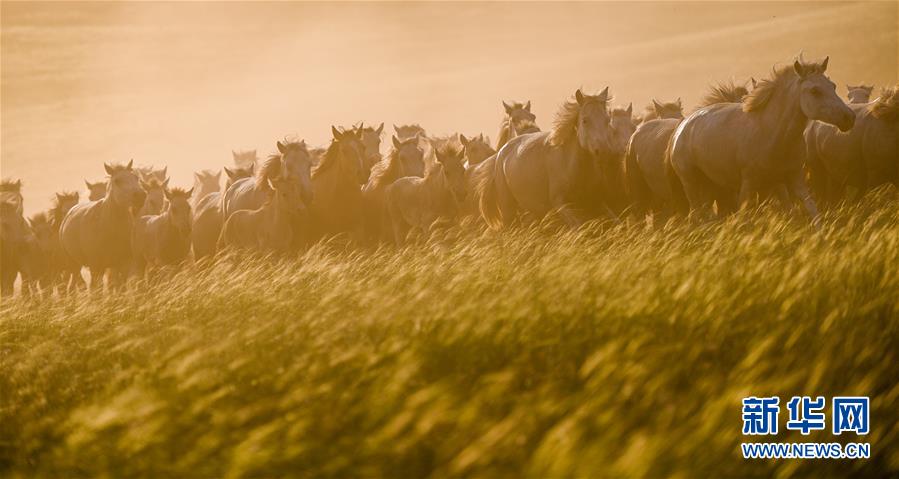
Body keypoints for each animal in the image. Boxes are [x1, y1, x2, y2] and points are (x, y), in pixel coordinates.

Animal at [59, 159, 146, 290]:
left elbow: (120, 288)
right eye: (117, 180)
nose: (140, 195)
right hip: (73, 264)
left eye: (136, 178)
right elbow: (95, 290)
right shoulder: (96, 266)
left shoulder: (123, 264)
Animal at [478, 88, 624, 231]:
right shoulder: (561, 205)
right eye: (585, 120)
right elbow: (578, 228)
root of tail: (501, 153)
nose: (604, 151)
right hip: (509, 211)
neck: (573, 166)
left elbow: (617, 224)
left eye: (607, 120)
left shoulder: (597, 202)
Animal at [672, 55, 856, 219]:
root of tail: (682, 127)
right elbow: (744, 218)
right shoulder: (748, 185)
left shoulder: (793, 180)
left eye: (832, 85)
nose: (849, 117)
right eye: (815, 90)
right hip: (691, 183)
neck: (772, 134)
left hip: (711, 186)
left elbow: (812, 213)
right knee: (697, 215)